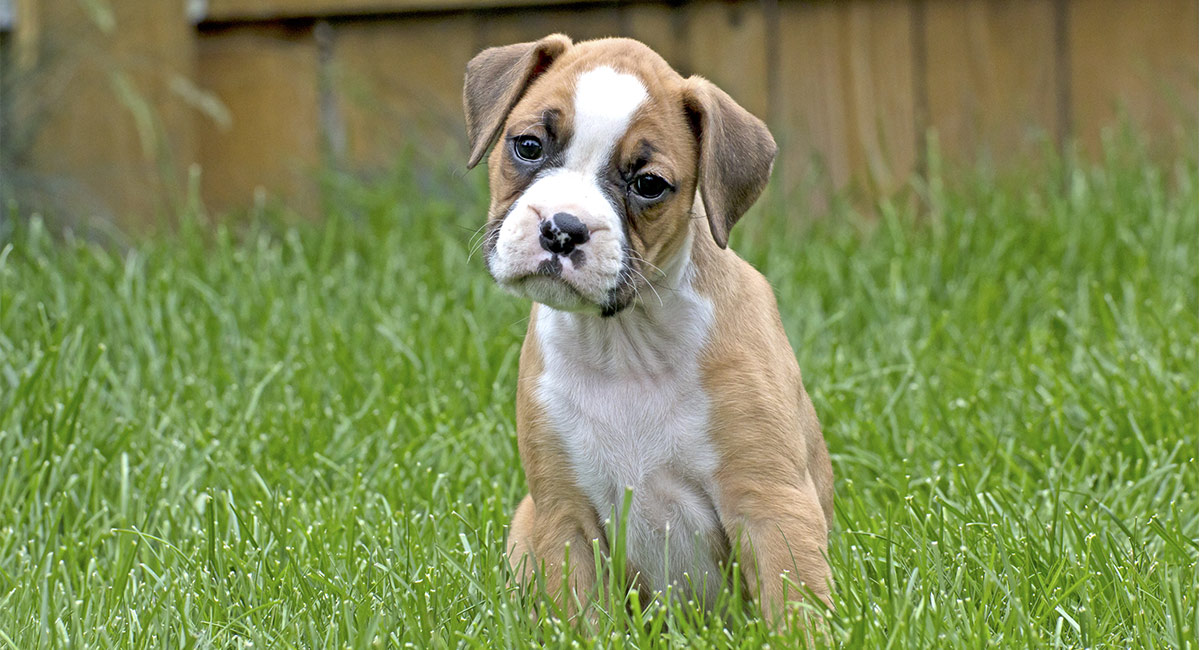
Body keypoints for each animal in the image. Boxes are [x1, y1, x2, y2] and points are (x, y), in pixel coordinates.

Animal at [460, 34, 835, 628]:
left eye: (649, 184)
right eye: (528, 146)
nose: (562, 230)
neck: (627, 343)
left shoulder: (771, 504)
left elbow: (797, 609)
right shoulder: (564, 515)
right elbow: (580, 619)